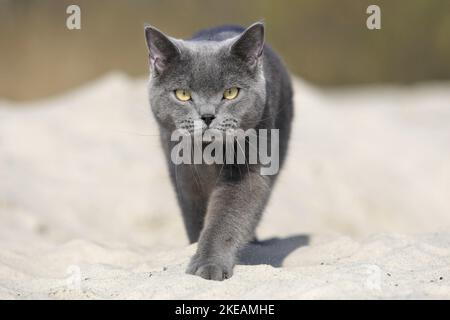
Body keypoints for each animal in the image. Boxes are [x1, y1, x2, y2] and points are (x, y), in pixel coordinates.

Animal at [142, 21, 294, 280]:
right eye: (183, 94)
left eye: (231, 92)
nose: (207, 116)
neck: (207, 156)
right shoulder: (183, 178)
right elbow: (194, 217)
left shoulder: (247, 171)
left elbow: (227, 217)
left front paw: (209, 266)